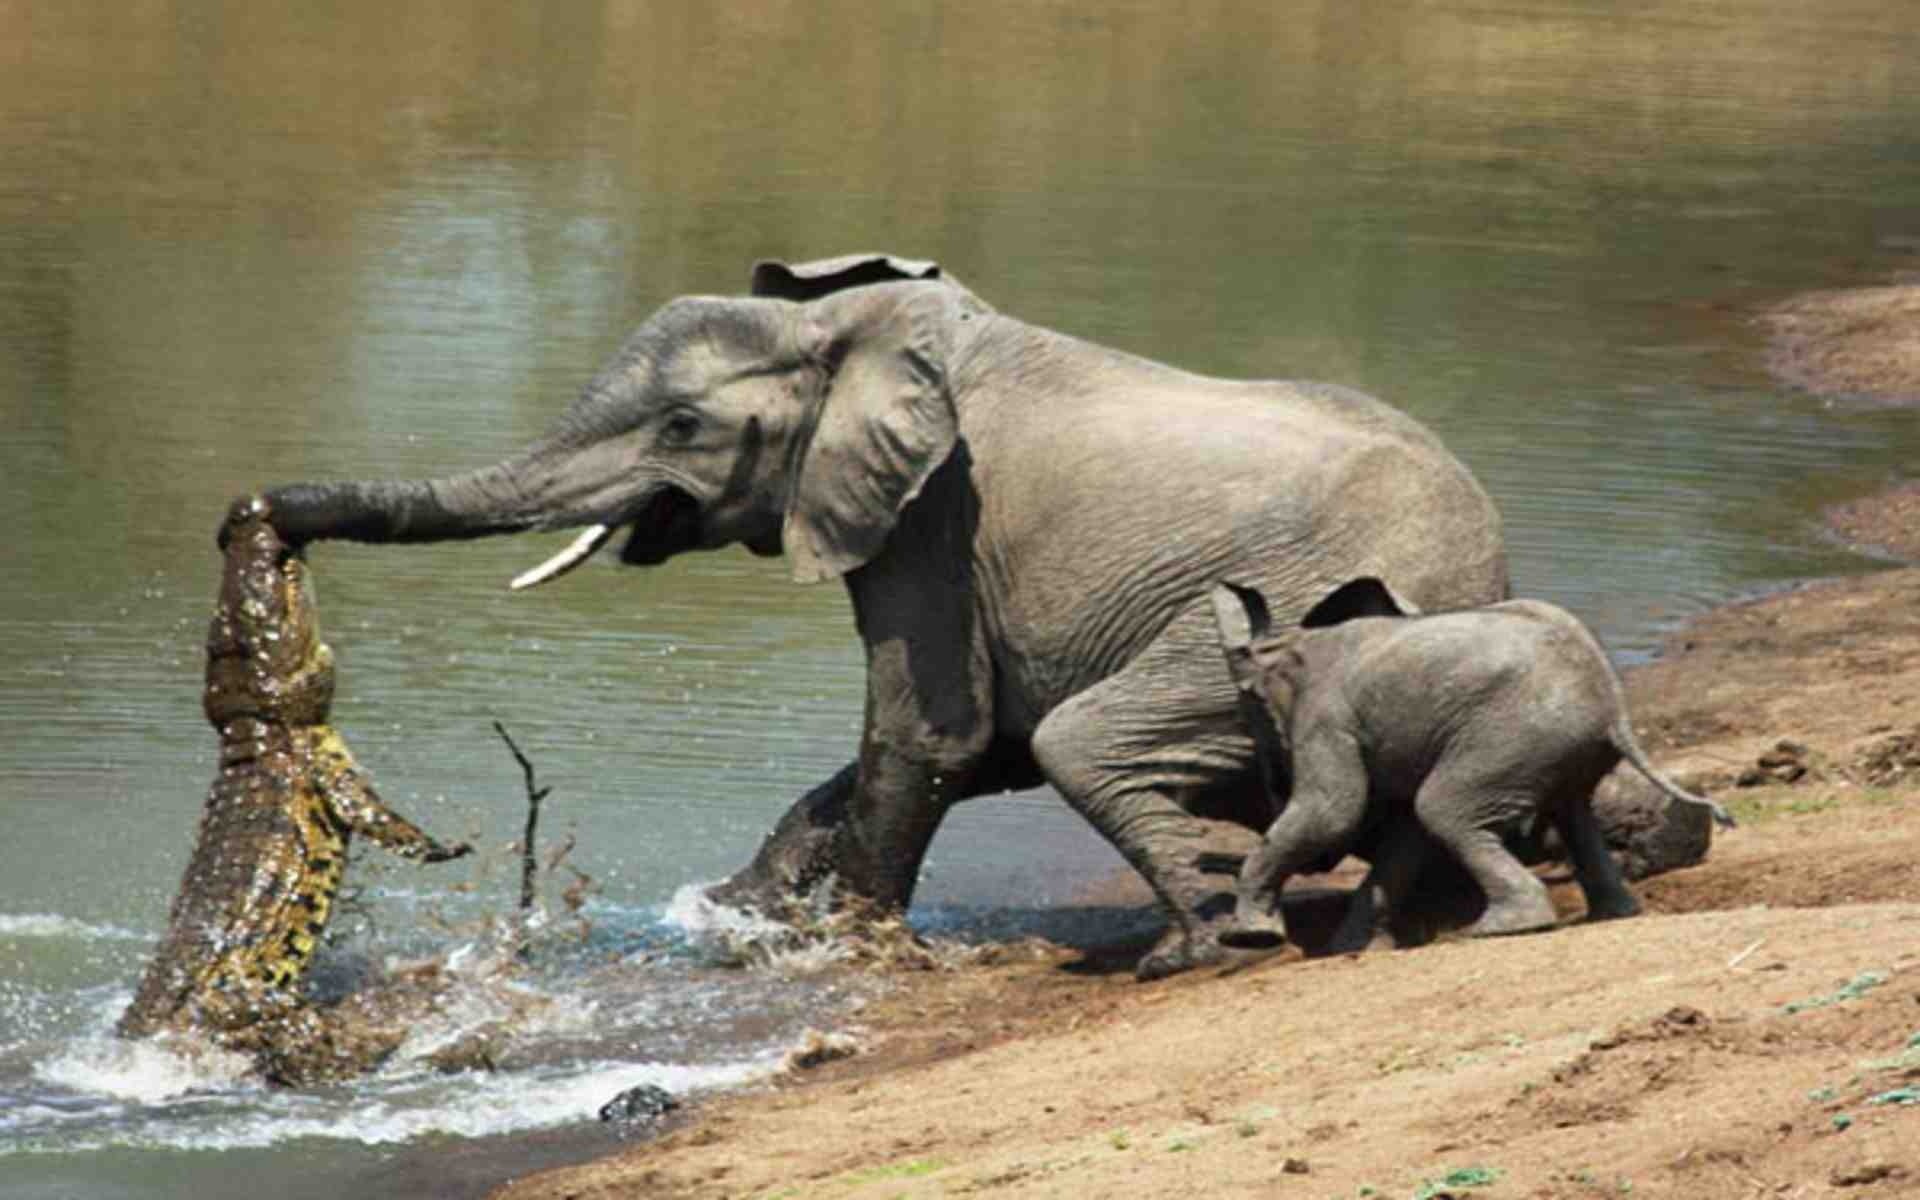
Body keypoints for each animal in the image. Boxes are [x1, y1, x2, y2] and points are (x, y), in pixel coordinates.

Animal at [259, 253, 1512, 975]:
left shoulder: (934, 516)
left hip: (1290, 616)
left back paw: (1202, 953)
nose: (260, 515)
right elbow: (978, 745)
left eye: (680, 428)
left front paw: (839, 950)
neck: (853, 329)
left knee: (1088, 742)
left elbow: (933, 734)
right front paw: (735, 914)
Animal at [1213, 576, 1743, 948]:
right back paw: (1611, 915)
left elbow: (1334, 812)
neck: (1287, 645)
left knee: (1445, 808)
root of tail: (1615, 705)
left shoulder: (1326, 718)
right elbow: (1403, 835)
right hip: (1552, 745)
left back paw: (1501, 929)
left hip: (1512, 735)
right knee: (1572, 813)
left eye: (1250, 709)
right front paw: (1349, 949)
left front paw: (1249, 938)